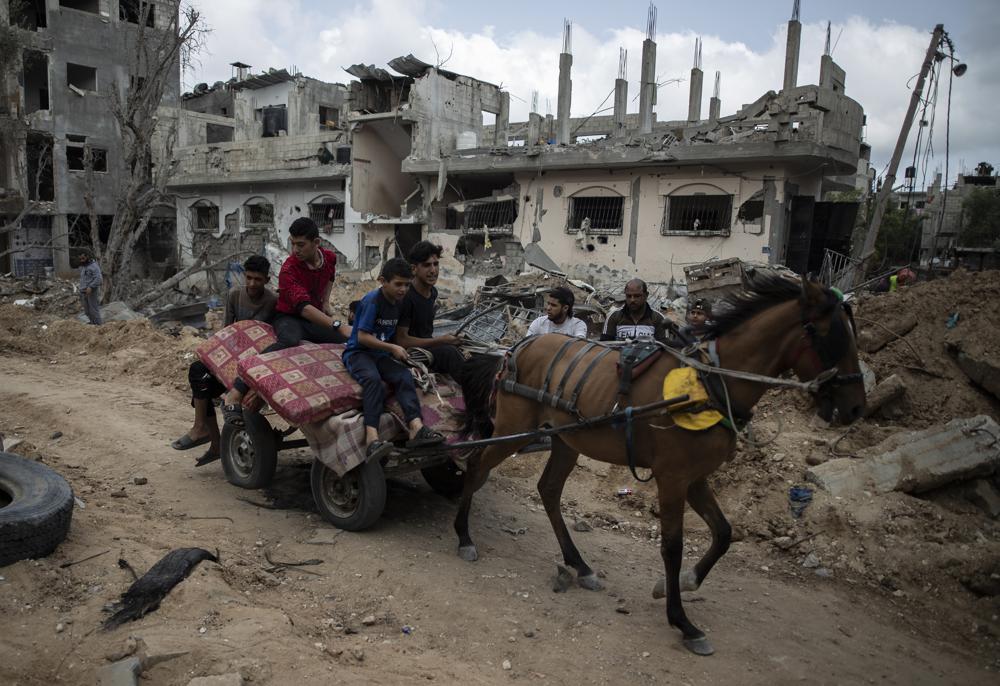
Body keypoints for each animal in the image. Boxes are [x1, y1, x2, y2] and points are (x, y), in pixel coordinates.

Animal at [458, 272, 864, 656]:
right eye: (833, 337)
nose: (856, 407)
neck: (709, 384)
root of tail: (516, 347)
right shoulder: (672, 477)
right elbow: (673, 546)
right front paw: (683, 622)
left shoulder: (695, 477)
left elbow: (724, 532)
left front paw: (684, 583)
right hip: (514, 429)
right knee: (476, 465)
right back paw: (464, 537)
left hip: (565, 440)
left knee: (548, 490)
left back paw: (580, 565)